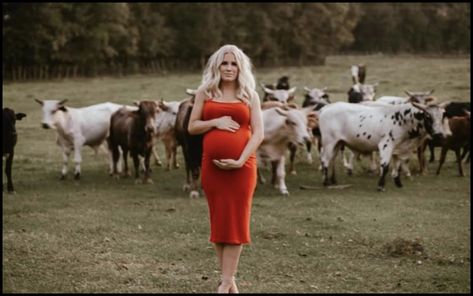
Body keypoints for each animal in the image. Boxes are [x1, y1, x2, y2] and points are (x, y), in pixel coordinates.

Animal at [318, 100, 448, 191]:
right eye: (428, 116)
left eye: (442, 116)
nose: (439, 134)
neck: (402, 120)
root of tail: (326, 108)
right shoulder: (386, 145)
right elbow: (385, 166)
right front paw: (380, 186)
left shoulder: (399, 148)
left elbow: (398, 165)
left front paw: (398, 183)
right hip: (329, 141)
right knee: (325, 159)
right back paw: (325, 182)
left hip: (337, 143)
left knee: (332, 159)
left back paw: (332, 180)